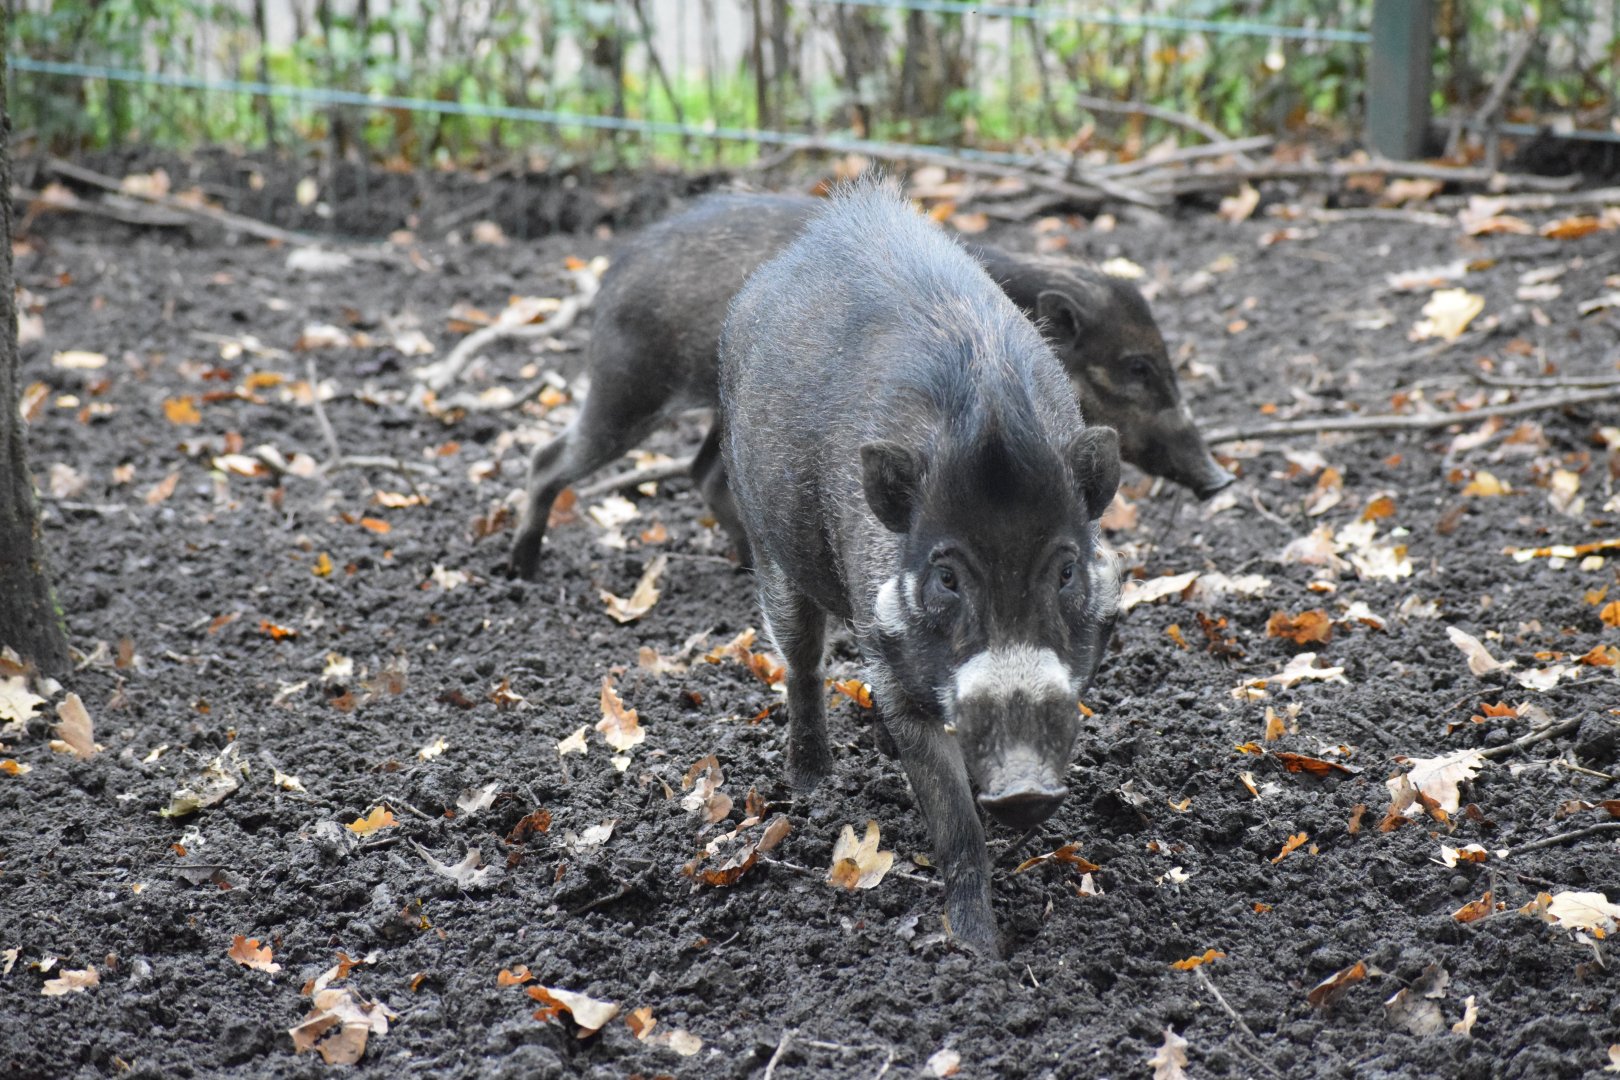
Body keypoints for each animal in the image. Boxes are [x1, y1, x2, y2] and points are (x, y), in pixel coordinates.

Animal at [507, 192, 1227, 579]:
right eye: (1136, 368)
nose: (1221, 479)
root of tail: (611, 275)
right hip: (628, 389)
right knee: (548, 458)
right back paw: (519, 567)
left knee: (704, 472)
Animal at [717, 181, 1121, 956]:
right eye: (947, 576)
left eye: (1065, 570)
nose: (1024, 787)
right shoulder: (894, 666)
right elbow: (956, 828)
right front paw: (979, 955)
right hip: (768, 544)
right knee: (801, 662)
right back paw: (810, 786)